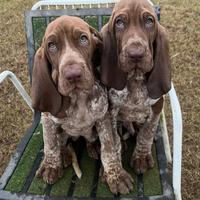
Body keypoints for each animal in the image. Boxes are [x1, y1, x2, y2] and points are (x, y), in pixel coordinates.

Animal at [30, 16, 133, 195]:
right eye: (51, 45)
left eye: (83, 39)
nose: (73, 75)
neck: (78, 97)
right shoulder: (47, 118)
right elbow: (50, 143)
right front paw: (51, 165)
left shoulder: (103, 117)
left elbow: (109, 148)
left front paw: (116, 175)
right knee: (61, 142)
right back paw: (64, 154)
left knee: (91, 140)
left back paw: (94, 146)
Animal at [101, 0, 171, 174]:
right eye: (119, 22)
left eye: (149, 21)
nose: (136, 54)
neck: (135, 78)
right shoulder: (111, 110)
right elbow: (114, 139)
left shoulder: (156, 107)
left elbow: (147, 132)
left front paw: (141, 156)